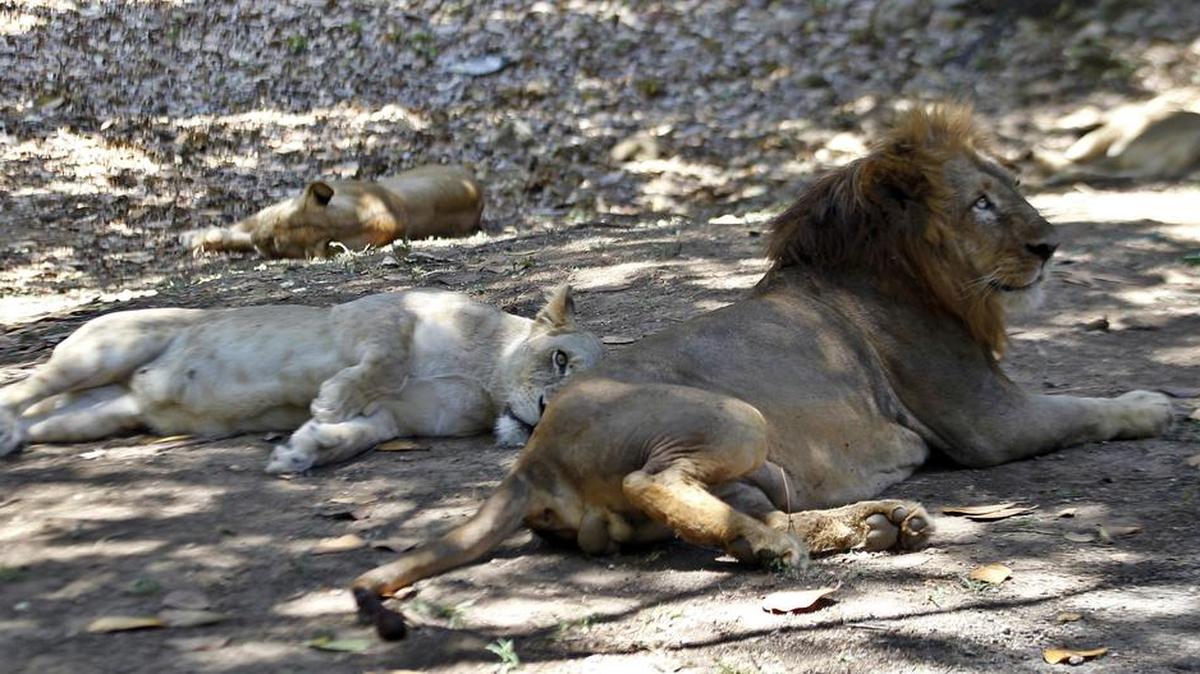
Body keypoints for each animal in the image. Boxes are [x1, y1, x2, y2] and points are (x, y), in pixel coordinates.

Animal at [0, 286, 603, 473]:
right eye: (560, 360)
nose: (545, 414)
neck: (484, 382)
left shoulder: (395, 419)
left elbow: (359, 436)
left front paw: (304, 450)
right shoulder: (381, 314)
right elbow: (387, 362)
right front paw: (331, 403)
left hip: (100, 415)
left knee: (44, 418)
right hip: (108, 349)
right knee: (24, 388)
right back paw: (4, 426)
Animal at [350, 105, 1174, 639]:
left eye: (1014, 193)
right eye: (983, 204)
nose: (1050, 246)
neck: (904, 270)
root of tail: (531, 458)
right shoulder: (988, 420)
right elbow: (1087, 408)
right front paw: (1157, 404)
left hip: (763, 468)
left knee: (744, 514)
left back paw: (875, 525)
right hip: (734, 419)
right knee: (656, 481)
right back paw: (813, 539)